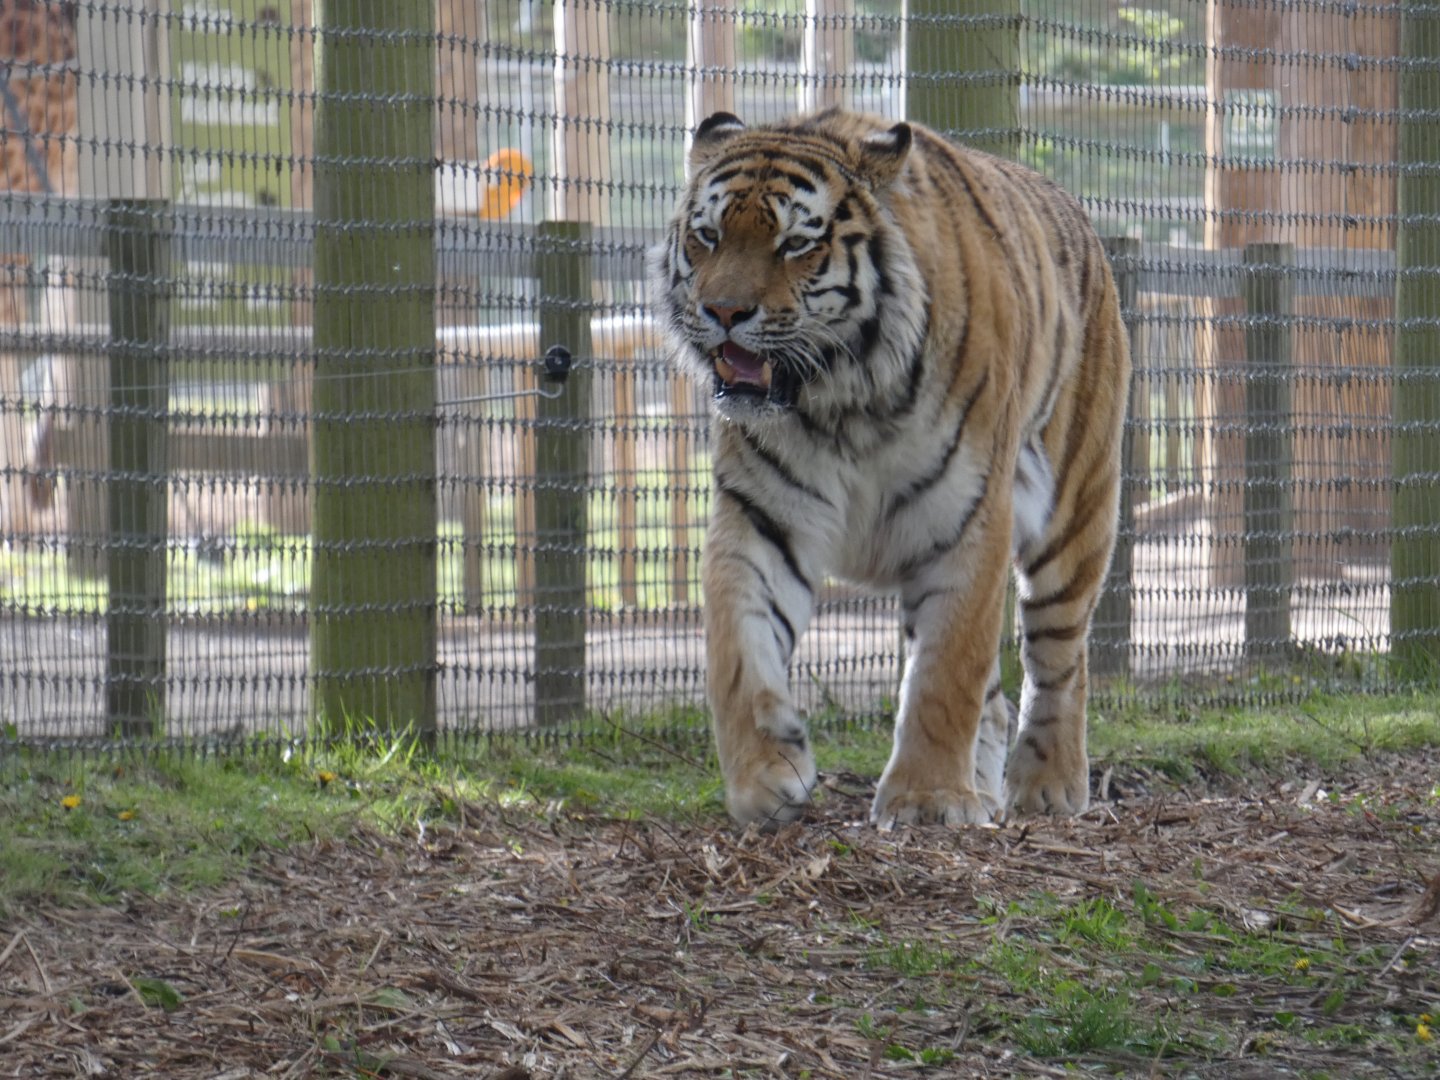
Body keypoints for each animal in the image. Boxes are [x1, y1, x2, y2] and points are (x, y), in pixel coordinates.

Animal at [648, 108, 1130, 828]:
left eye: (795, 243)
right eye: (708, 235)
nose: (724, 312)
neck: (842, 397)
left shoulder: (968, 518)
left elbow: (945, 672)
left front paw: (928, 799)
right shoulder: (762, 516)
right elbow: (738, 649)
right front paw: (768, 775)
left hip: (1075, 511)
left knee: (1061, 657)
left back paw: (1048, 784)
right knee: (999, 693)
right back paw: (985, 788)